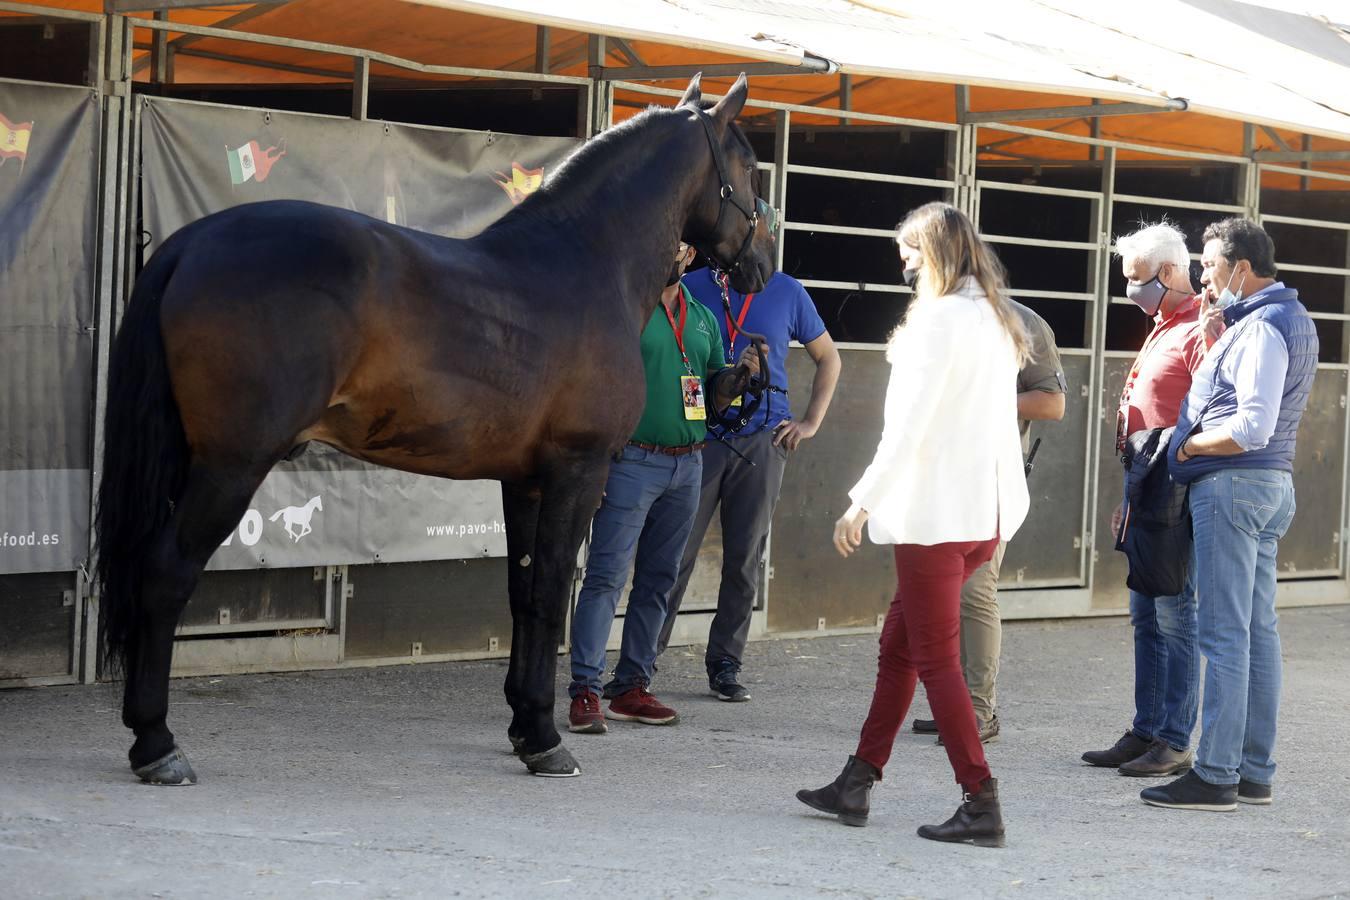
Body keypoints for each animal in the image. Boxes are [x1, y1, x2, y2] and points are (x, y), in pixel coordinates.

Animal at [95, 75, 777, 782]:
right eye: (749, 166)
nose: (762, 262)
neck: (587, 267)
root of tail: (191, 244)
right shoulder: (578, 471)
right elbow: (551, 592)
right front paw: (546, 737)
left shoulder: (525, 481)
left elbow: (523, 593)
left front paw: (524, 728)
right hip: (231, 464)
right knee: (166, 573)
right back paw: (157, 745)